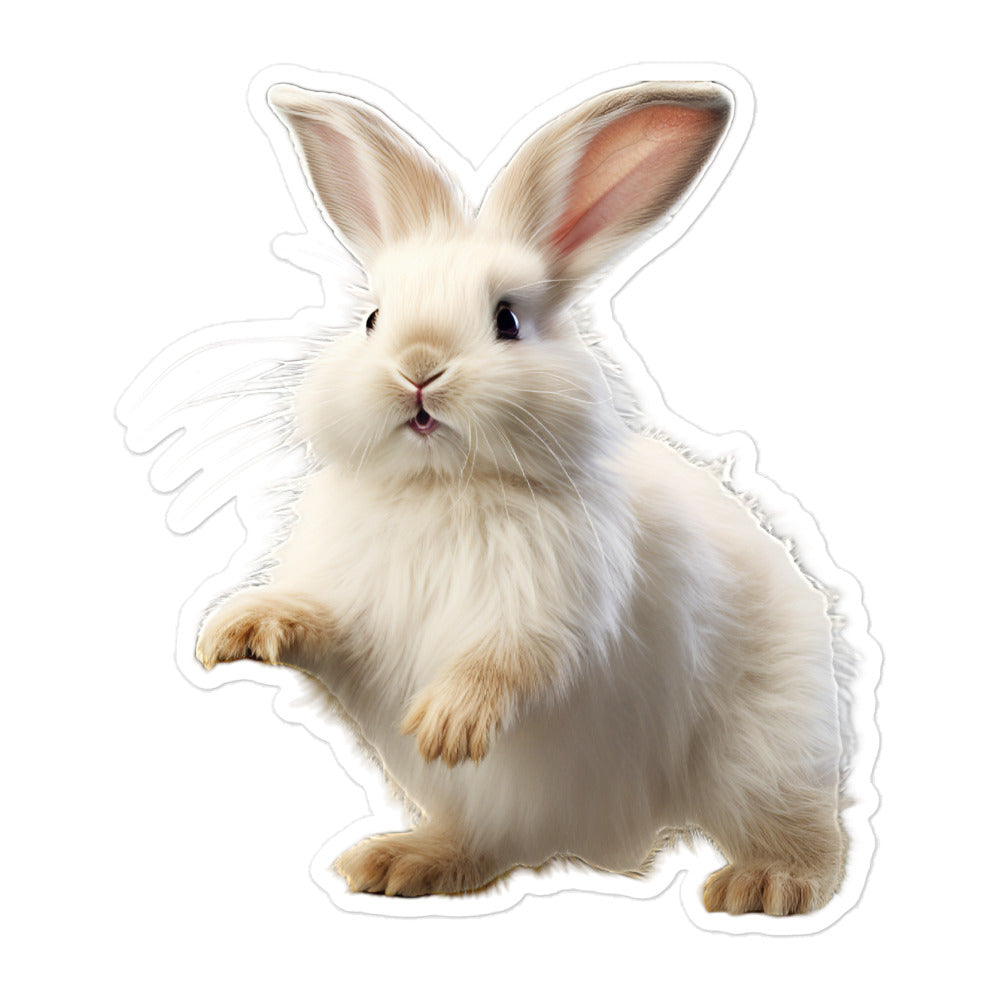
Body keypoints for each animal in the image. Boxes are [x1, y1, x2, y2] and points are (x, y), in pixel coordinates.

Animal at [195, 79, 847, 915]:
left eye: (506, 319)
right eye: (372, 318)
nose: (419, 367)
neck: (441, 489)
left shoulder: (554, 603)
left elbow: (509, 661)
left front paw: (447, 722)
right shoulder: (350, 605)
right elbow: (317, 619)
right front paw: (238, 630)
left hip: (764, 752)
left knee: (804, 835)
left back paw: (761, 885)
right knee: (492, 845)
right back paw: (401, 861)